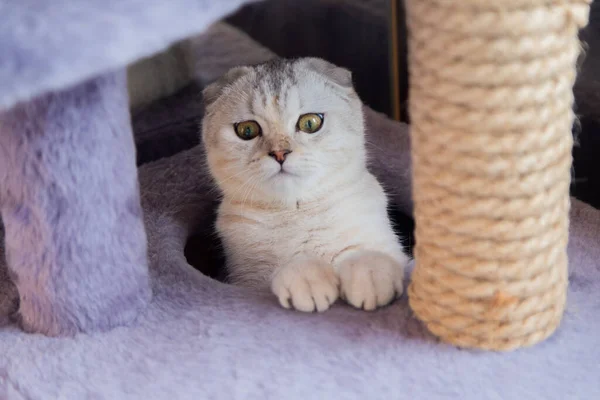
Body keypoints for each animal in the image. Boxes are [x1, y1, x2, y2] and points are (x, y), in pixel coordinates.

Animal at [199, 57, 410, 312]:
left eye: (310, 123)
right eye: (246, 130)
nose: (280, 153)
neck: (296, 212)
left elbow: (372, 255)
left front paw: (370, 272)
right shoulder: (246, 279)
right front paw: (306, 277)